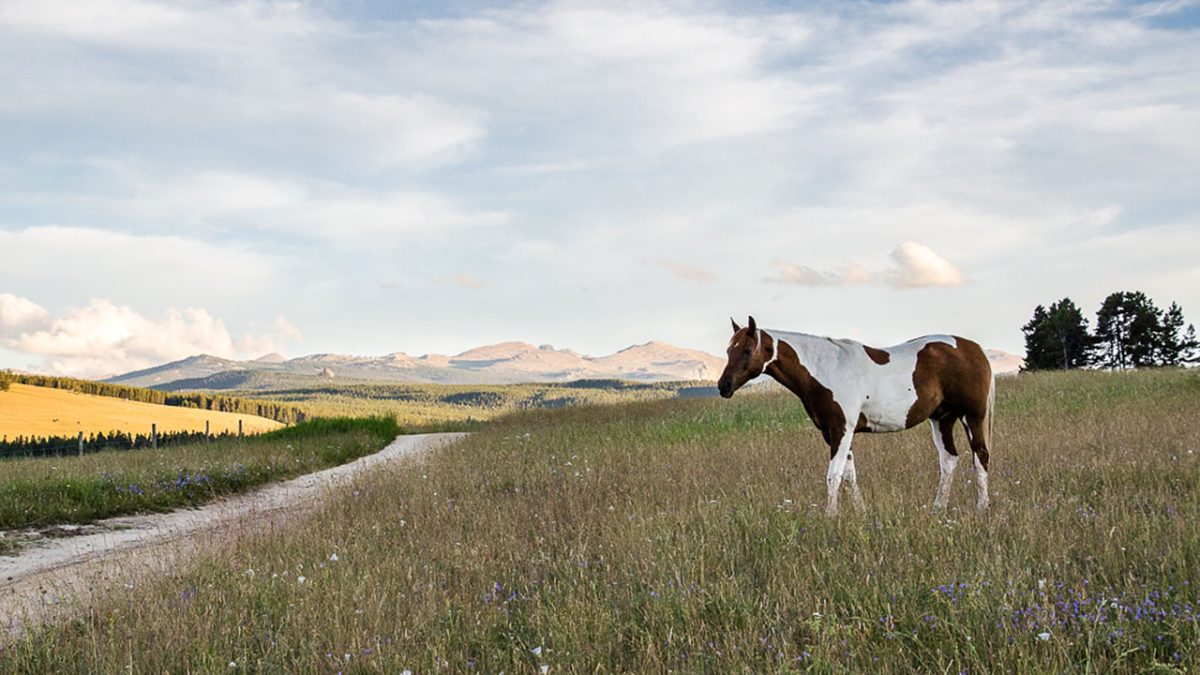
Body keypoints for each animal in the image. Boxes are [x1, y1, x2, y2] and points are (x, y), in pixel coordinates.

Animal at [715, 314, 988, 514]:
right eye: (729, 350)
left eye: (747, 350)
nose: (723, 386)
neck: (825, 370)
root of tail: (973, 348)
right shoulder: (833, 433)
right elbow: (849, 475)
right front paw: (861, 513)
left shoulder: (841, 430)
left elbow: (833, 476)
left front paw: (830, 517)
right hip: (942, 419)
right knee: (949, 461)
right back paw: (937, 510)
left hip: (972, 416)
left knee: (981, 457)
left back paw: (982, 510)